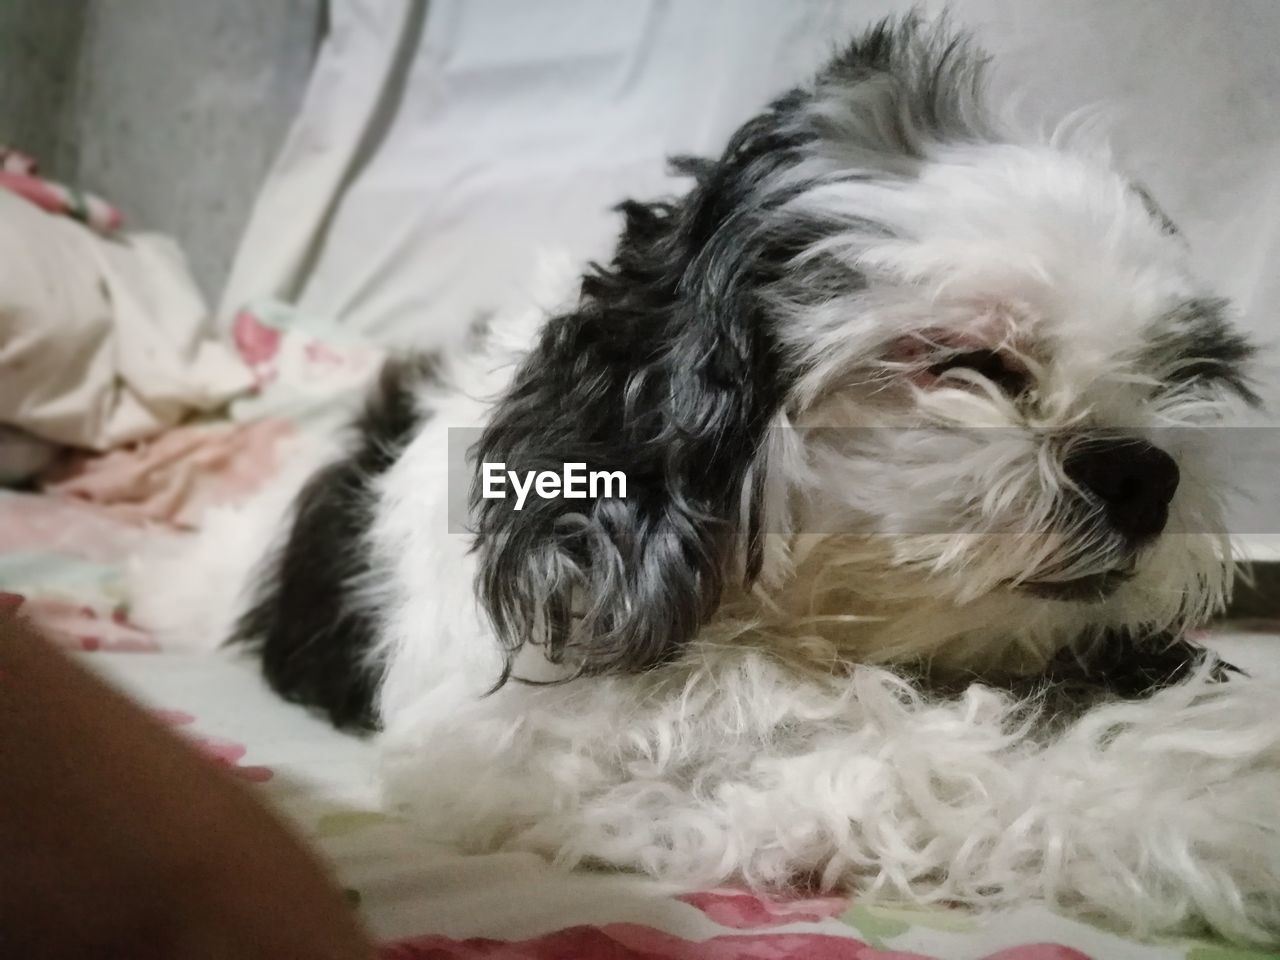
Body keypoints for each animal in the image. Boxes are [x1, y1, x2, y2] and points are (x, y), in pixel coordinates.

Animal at [132, 15, 1280, 947]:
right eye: (970, 362)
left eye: (1179, 377)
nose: (1141, 470)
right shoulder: (516, 757)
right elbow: (890, 754)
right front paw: (1215, 811)